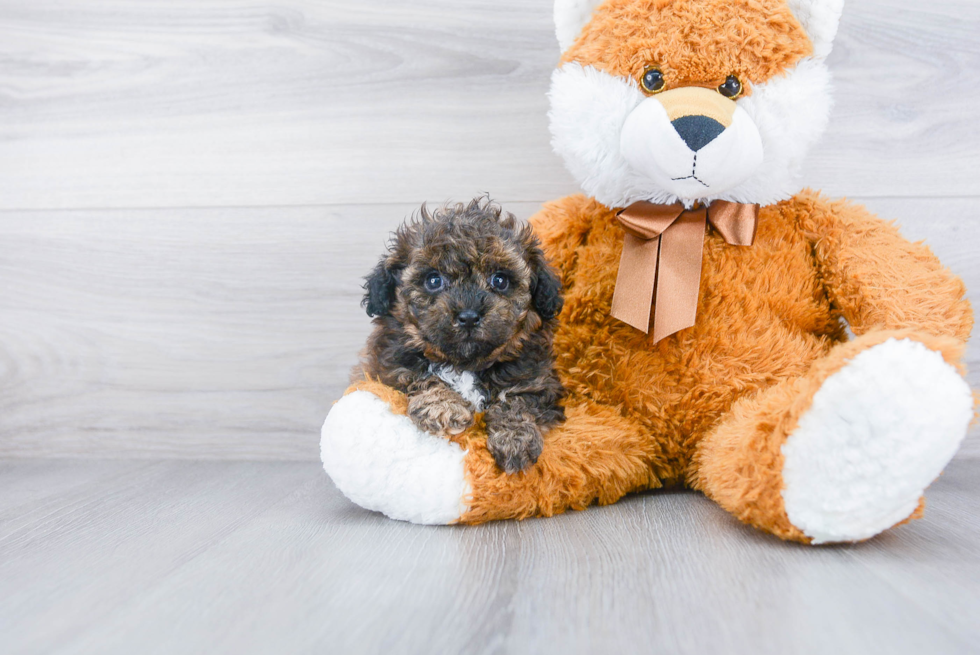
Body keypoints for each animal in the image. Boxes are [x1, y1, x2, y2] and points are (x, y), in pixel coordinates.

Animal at [356, 197, 564, 474]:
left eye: (500, 280)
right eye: (434, 280)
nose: (468, 316)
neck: (465, 365)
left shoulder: (539, 379)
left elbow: (519, 399)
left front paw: (515, 438)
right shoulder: (389, 367)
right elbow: (421, 375)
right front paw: (443, 407)